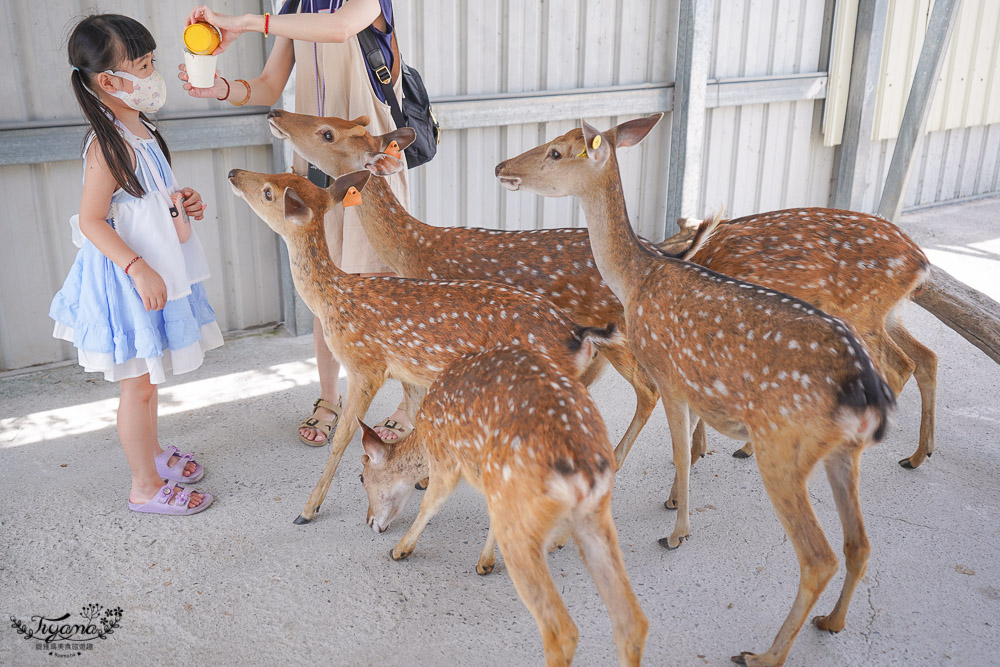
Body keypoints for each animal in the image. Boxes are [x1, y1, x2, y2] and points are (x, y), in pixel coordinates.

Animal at [228, 168, 620, 528]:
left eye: (268, 192)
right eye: (281, 175)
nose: (233, 173)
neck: (335, 300)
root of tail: (577, 334)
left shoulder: (366, 364)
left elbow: (343, 437)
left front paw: (307, 510)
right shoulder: (409, 372)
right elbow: (417, 421)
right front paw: (422, 480)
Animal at [360, 348, 648, 664]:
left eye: (361, 478)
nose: (369, 521)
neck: (424, 437)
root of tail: (584, 470)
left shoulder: (446, 458)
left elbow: (431, 503)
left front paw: (400, 550)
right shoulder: (491, 480)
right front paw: (485, 562)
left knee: (562, 629)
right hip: (595, 518)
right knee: (633, 622)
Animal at [496, 115, 896, 667]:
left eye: (556, 152)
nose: (501, 167)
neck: (636, 280)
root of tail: (868, 393)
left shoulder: (669, 373)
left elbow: (682, 453)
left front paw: (676, 531)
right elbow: (685, 451)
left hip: (783, 445)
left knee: (819, 556)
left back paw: (762, 654)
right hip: (843, 452)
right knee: (860, 544)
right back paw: (831, 623)